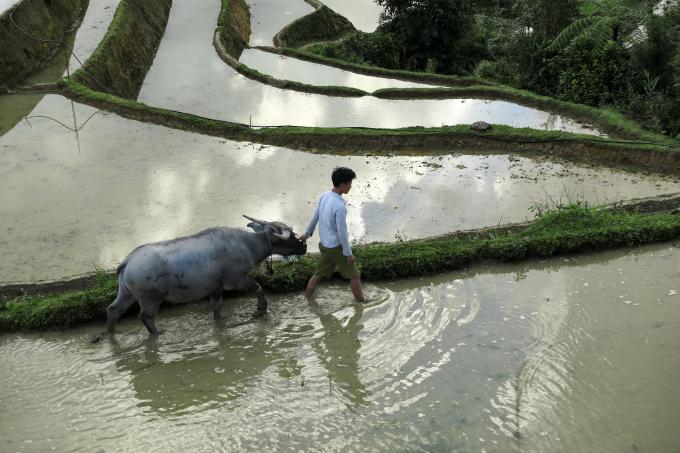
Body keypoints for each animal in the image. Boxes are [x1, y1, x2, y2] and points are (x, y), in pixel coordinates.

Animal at [106, 215, 308, 336]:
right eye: (290, 235)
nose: (304, 246)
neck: (247, 244)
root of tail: (127, 262)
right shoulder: (238, 280)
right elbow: (258, 287)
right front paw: (261, 308)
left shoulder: (216, 289)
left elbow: (217, 309)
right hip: (150, 298)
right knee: (145, 317)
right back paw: (158, 334)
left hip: (127, 294)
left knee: (113, 309)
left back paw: (110, 333)